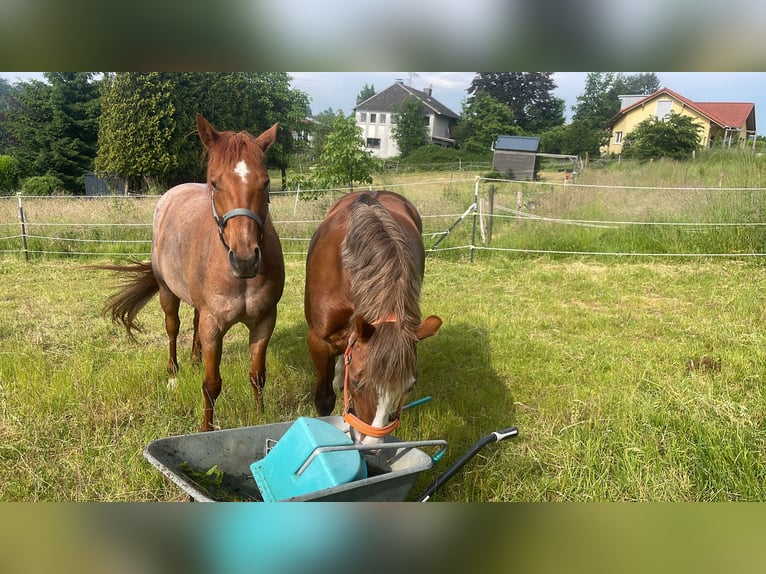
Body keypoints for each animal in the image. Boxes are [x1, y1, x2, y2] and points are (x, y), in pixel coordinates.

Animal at [99, 114, 285, 431]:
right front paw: (206, 429)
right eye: (215, 183)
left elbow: (257, 376)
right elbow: (211, 384)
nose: (245, 259)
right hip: (167, 292)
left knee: (194, 322)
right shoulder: (214, 326)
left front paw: (260, 418)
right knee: (173, 328)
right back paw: (174, 373)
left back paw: (195, 359)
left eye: (266, 182)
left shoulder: (264, 321)